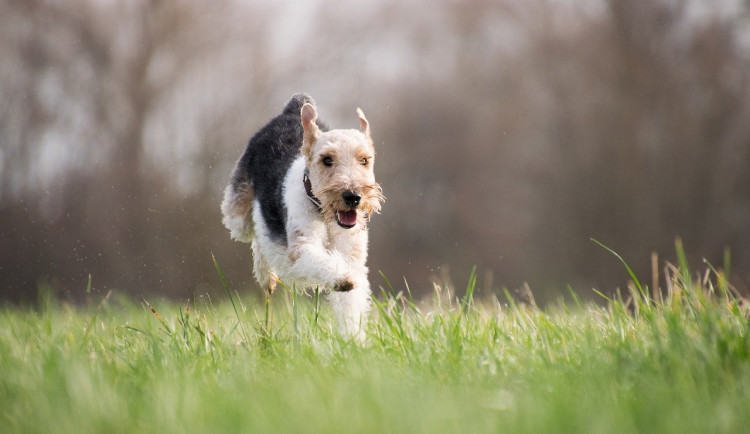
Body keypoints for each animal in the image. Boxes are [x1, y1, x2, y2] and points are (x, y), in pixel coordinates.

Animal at [217, 94, 382, 340]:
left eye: (364, 160)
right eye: (327, 159)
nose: (353, 196)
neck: (324, 215)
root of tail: (293, 108)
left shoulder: (352, 256)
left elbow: (351, 302)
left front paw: (354, 340)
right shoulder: (302, 247)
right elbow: (322, 262)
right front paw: (342, 279)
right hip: (237, 215)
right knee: (257, 234)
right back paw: (267, 276)